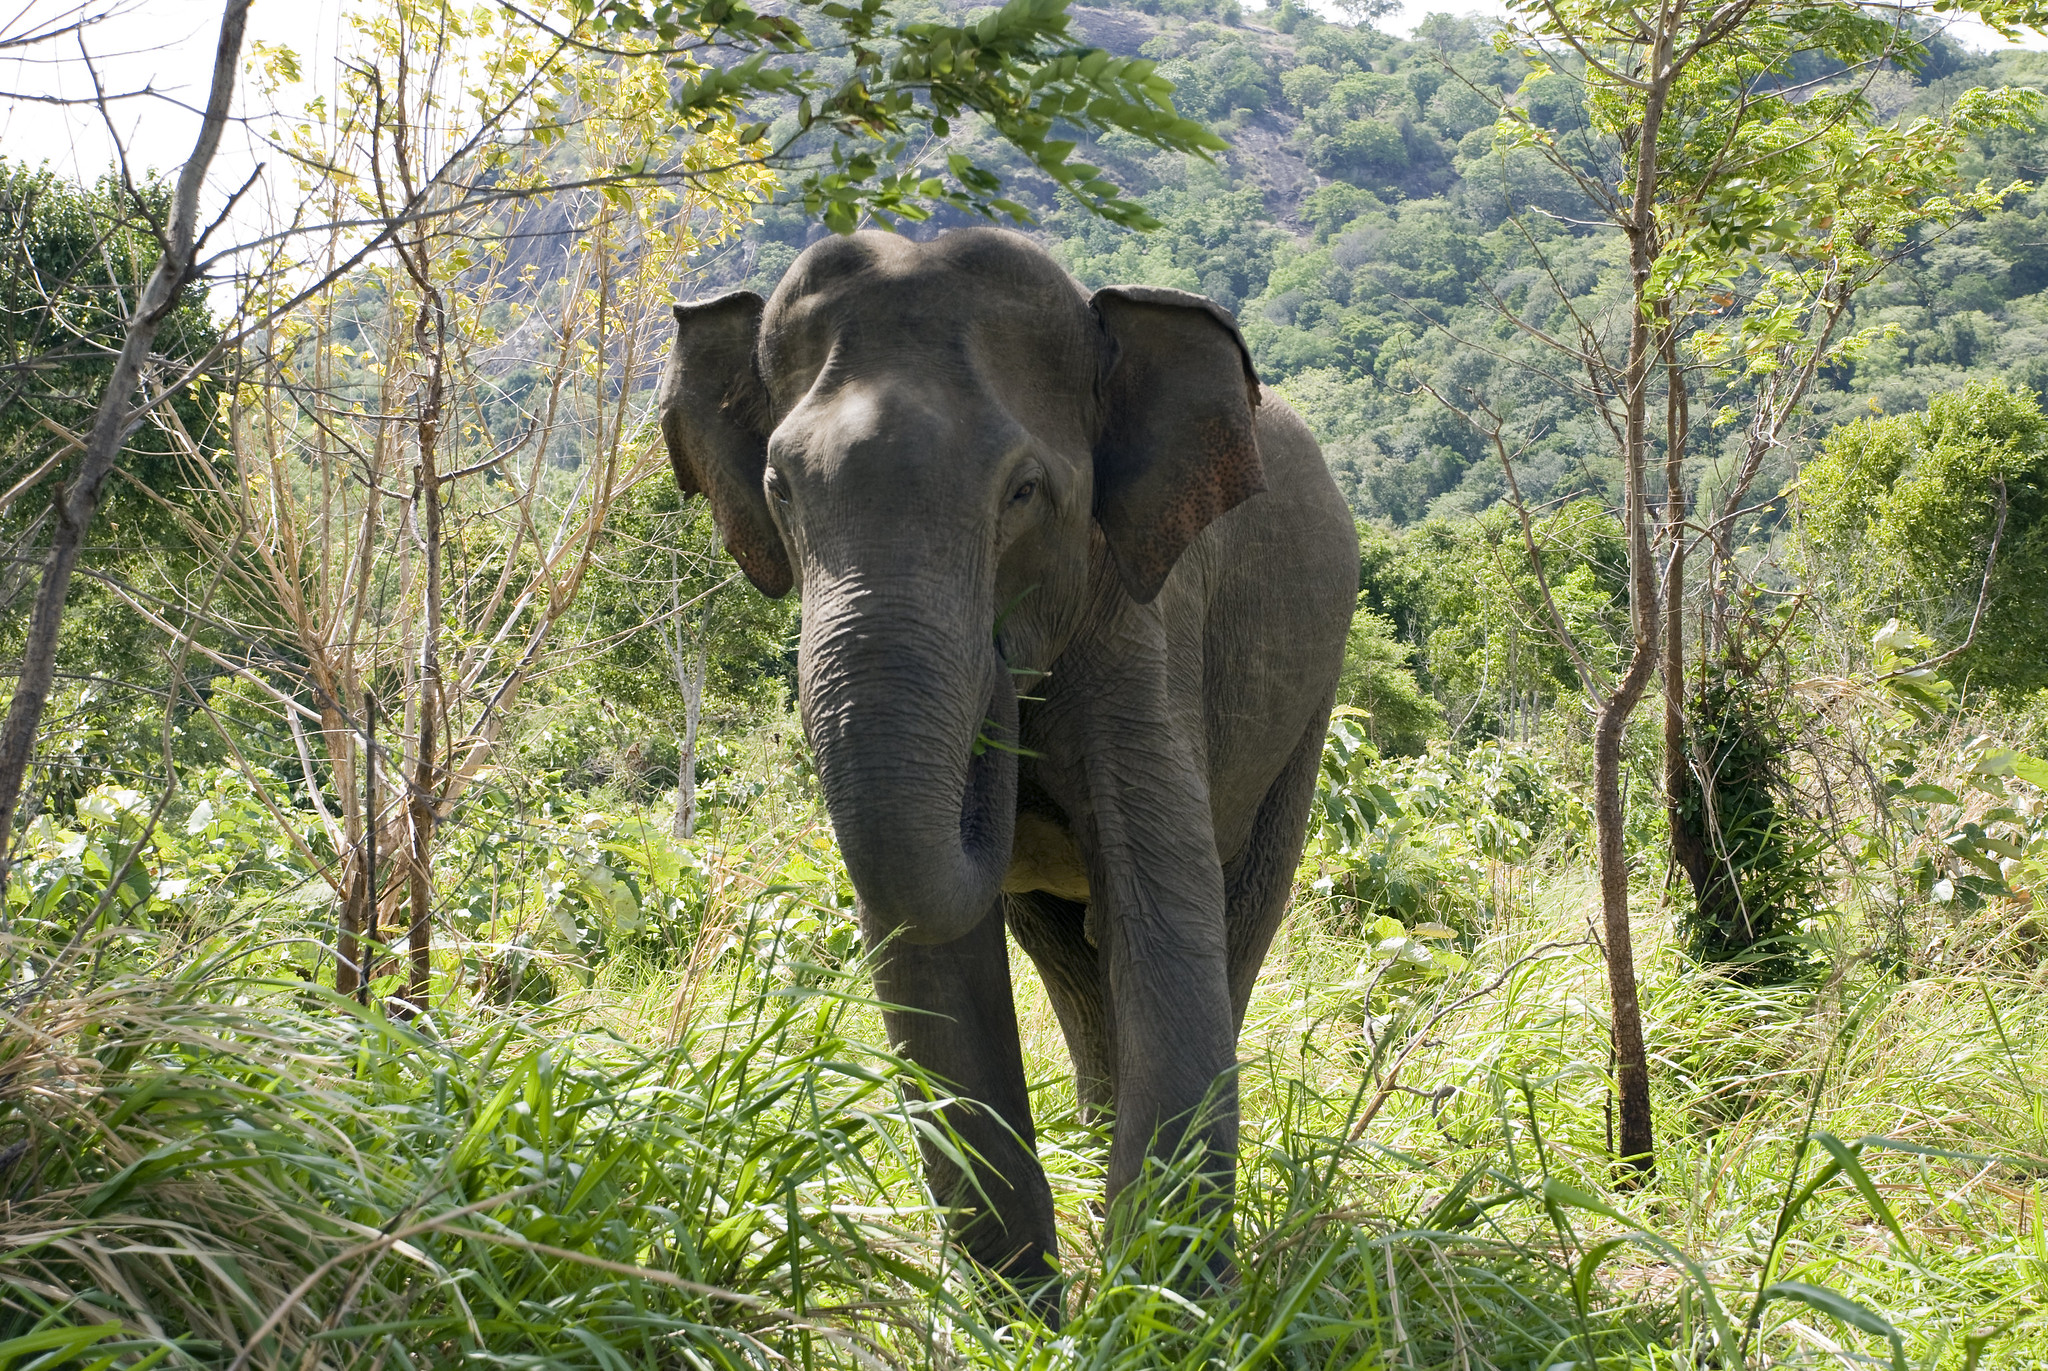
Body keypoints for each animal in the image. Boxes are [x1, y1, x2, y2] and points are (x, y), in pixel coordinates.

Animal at [659, 224, 1359, 1303]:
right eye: (780, 489)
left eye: (1024, 493)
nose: (999, 680)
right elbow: (928, 954)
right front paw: (1026, 1314)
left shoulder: (1143, 623)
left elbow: (1163, 914)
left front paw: (1165, 1311)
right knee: (1068, 954)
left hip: (1308, 702)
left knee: (1232, 913)